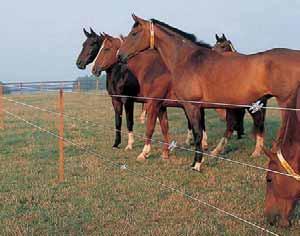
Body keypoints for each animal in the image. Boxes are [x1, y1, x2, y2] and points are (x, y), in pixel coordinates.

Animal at [92, 33, 207, 161]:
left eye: (106, 49)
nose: (94, 69)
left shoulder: (133, 101)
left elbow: (137, 124)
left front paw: (135, 148)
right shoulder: (118, 100)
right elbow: (163, 127)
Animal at [117, 14, 300, 171]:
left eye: (134, 33)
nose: (120, 55)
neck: (186, 60)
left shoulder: (189, 106)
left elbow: (196, 133)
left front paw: (196, 164)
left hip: (285, 104)